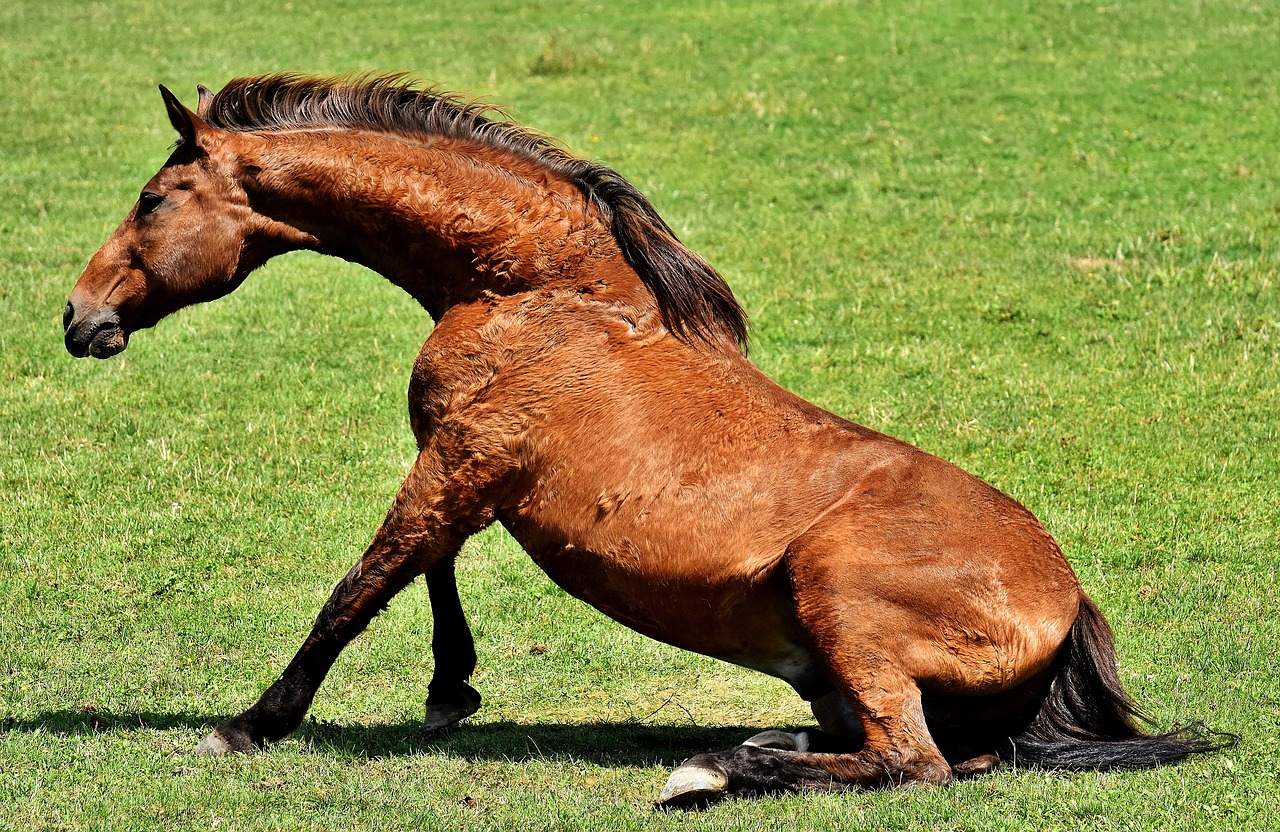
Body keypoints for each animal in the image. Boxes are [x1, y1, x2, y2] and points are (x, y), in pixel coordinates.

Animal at [67, 76, 1228, 803]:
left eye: (154, 198)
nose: (79, 318)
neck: (538, 286)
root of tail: (1067, 601)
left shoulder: (457, 463)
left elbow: (361, 587)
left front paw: (253, 722)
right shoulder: (465, 465)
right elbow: (427, 570)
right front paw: (450, 689)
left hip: (838, 600)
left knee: (913, 762)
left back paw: (719, 767)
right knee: (930, 752)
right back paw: (755, 743)